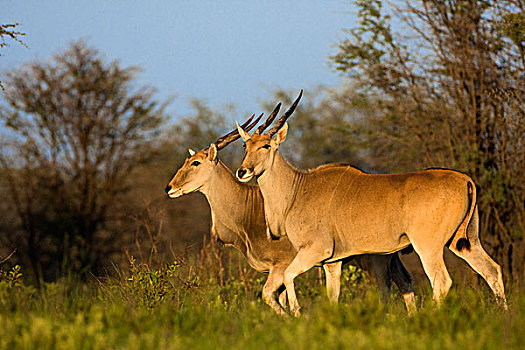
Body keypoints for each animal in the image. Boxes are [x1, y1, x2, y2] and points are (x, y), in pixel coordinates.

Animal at [164, 111, 414, 314]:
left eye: (195, 163)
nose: (170, 188)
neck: (248, 208)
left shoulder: (280, 267)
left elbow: (269, 296)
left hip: (377, 257)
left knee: (386, 288)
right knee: (405, 283)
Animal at [235, 91, 506, 316]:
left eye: (266, 145)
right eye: (245, 145)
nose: (242, 171)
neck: (298, 189)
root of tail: (465, 180)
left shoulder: (316, 251)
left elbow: (289, 276)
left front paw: (297, 313)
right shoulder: (332, 262)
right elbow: (332, 295)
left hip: (428, 246)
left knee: (441, 281)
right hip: (466, 242)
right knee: (492, 270)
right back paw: (504, 316)